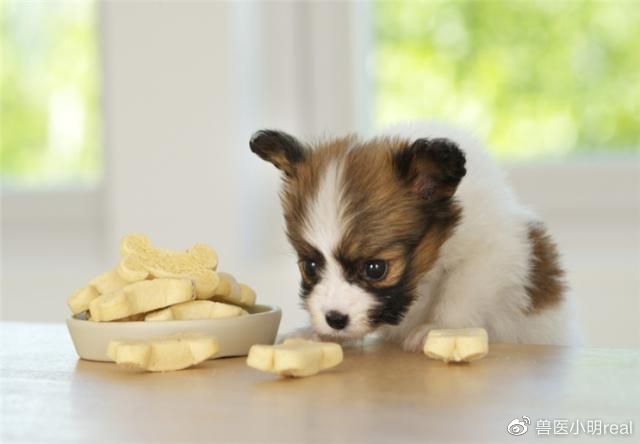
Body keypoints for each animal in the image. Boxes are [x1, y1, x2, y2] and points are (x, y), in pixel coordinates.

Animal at [250, 122, 576, 351]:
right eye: (310, 266)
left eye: (376, 269)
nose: (334, 319)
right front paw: (319, 334)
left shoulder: (491, 254)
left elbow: (460, 293)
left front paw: (439, 328)